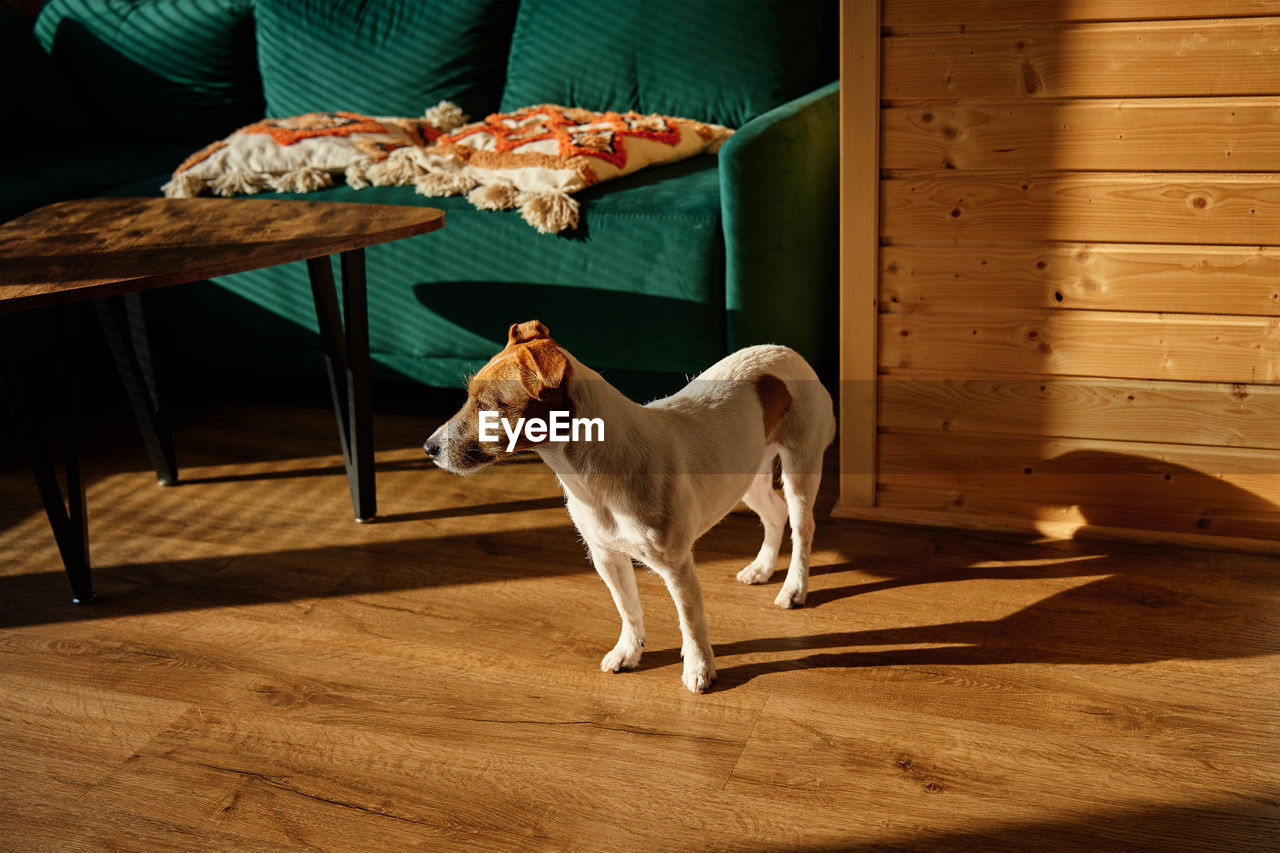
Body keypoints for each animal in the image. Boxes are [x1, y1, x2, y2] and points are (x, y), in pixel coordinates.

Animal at [424, 320, 834, 691]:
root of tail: (787, 351)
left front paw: (699, 668)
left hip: (800, 466)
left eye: (485, 406)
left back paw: (794, 587)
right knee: (775, 514)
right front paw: (629, 652)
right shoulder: (606, 556)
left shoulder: (676, 566)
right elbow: (627, 608)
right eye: (468, 398)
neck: (589, 477)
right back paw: (762, 567)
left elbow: (691, 620)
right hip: (746, 474)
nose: (428, 448)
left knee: (802, 528)